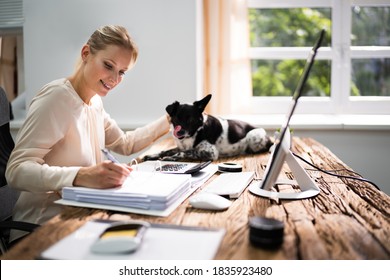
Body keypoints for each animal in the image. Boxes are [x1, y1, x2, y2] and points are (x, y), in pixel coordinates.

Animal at [143, 94, 272, 161]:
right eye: (176, 118)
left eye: (191, 119)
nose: (180, 133)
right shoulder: (180, 147)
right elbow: (167, 150)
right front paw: (154, 155)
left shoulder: (211, 152)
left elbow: (187, 152)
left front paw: (171, 158)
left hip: (253, 136)